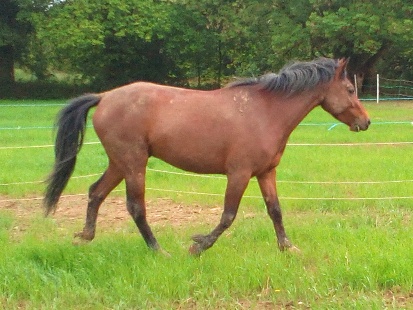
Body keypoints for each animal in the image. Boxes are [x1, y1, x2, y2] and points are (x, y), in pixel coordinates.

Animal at [45, 57, 370, 254]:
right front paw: (198, 246)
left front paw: (288, 247)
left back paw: (86, 236)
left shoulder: (266, 173)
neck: (265, 112)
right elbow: (228, 216)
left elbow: (275, 210)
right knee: (136, 207)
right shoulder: (239, 174)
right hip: (134, 163)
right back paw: (159, 251)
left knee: (95, 192)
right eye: (350, 89)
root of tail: (104, 97)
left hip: (119, 163)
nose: (365, 122)